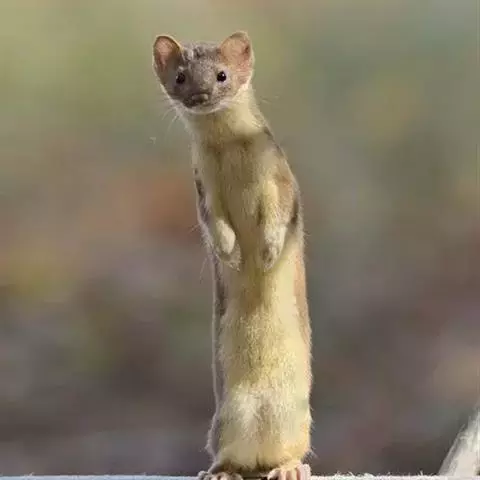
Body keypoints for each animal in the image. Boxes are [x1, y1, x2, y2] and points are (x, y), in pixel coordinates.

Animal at [152, 31, 312, 480]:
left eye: (222, 74)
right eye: (180, 76)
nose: (201, 95)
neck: (232, 157)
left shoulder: (278, 176)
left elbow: (278, 212)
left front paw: (268, 251)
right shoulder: (203, 186)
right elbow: (216, 223)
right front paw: (233, 253)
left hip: (297, 416)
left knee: (292, 448)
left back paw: (289, 467)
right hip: (225, 418)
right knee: (229, 452)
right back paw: (222, 470)